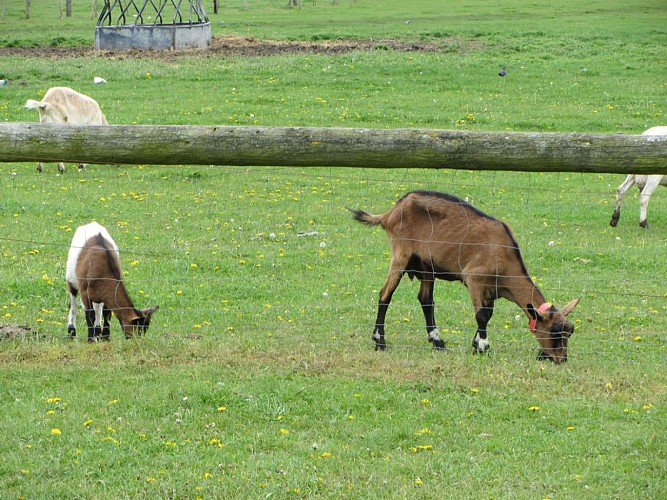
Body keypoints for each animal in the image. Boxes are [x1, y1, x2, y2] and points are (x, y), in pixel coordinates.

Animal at [354, 191, 580, 364]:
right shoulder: (475, 280)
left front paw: (475, 343)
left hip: (427, 267)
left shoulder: (490, 290)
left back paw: (437, 342)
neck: (503, 255)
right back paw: (380, 341)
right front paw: (482, 347)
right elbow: (482, 315)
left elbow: (488, 313)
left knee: (425, 300)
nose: (561, 360)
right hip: (400, 255)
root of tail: (390, 212)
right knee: (385, 294)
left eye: (569, 332)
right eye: (554, 332)